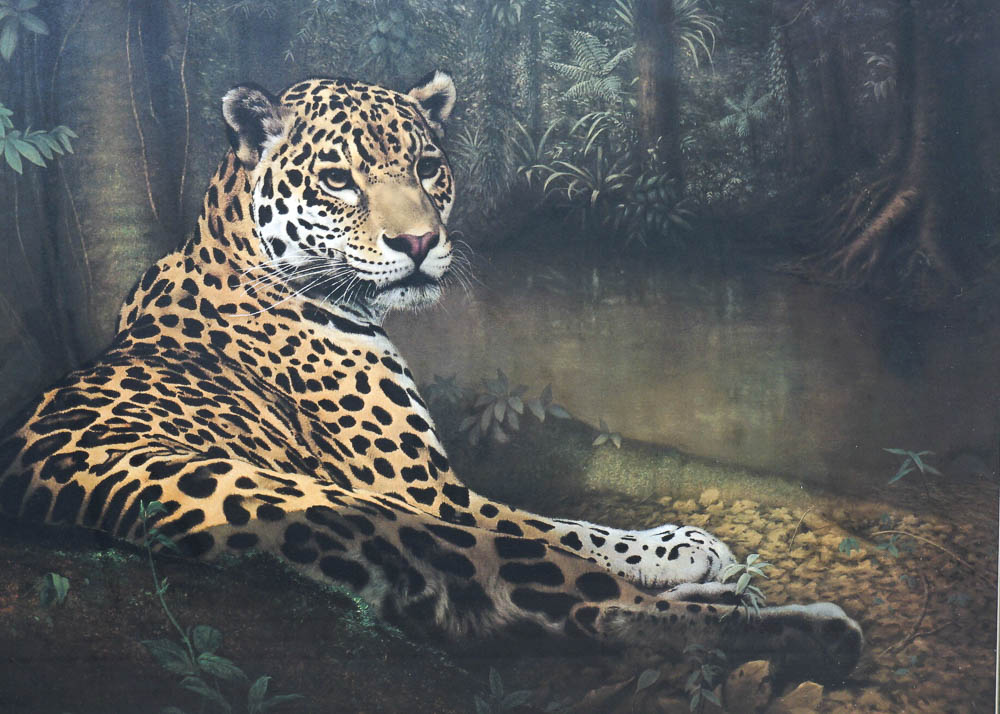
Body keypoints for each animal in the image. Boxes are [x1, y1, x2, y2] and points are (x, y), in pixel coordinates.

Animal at [0, 71, 862, 682]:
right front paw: (682, 543)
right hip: (385, 516)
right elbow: (565, 525)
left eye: (425, 167)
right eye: (337, 179)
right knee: (605, 613)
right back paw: (810, 629)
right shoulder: (426, 491)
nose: (418, 243)